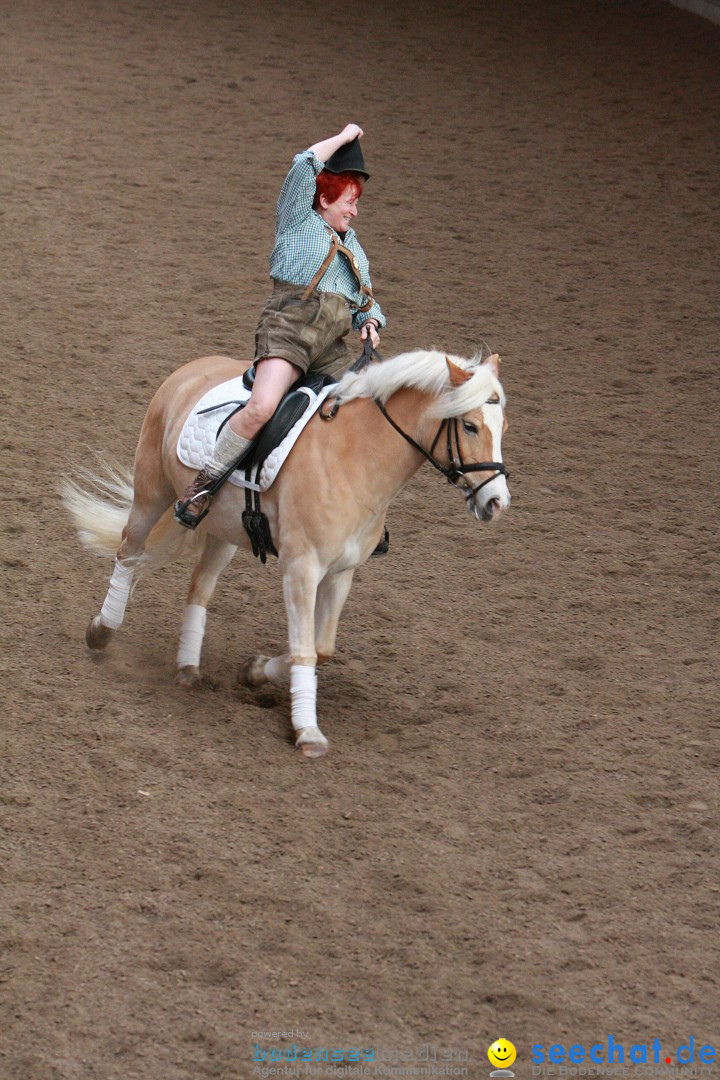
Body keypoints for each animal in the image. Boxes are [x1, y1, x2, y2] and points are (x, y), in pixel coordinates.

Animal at [63, 349, 511, 756]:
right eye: (470, 425)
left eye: (502, 426)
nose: (497, 502)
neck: (357, 457)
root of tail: (193, 368)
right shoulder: (302, 568)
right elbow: (304, 648)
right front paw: (308, 732)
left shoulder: (341, 572)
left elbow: (322, 648)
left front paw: (254, 672)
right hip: (151, 492)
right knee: (128, 552)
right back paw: (102, 630)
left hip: (224, 532)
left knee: (198, 588)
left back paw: (188, 667)